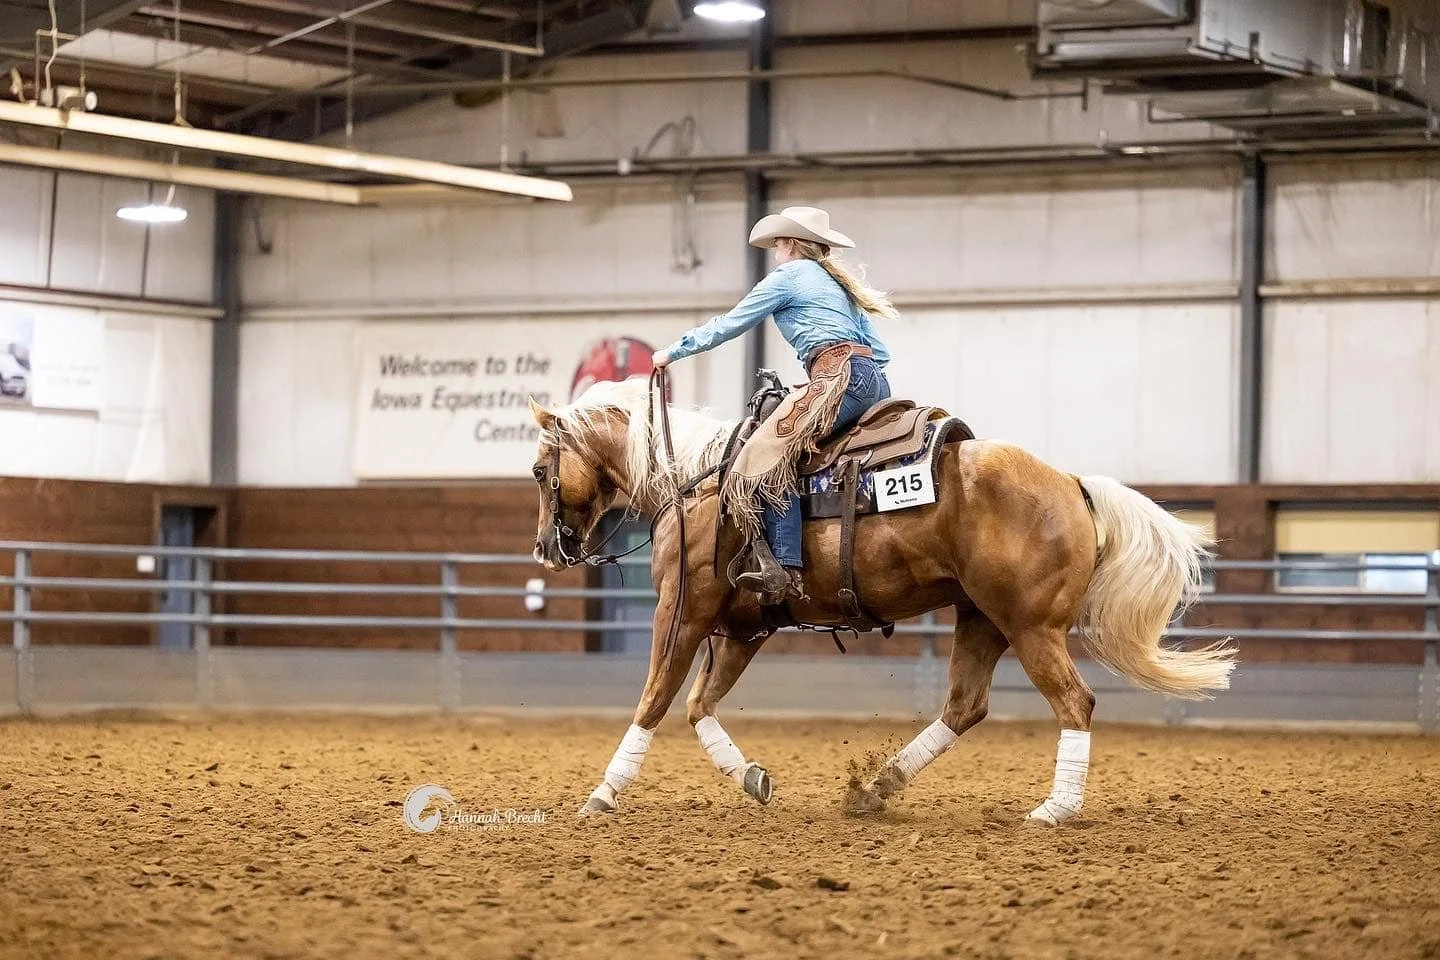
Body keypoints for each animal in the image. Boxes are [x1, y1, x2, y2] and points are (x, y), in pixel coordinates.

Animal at [527, 377, 1236, 823]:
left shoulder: (681, 614)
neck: (696, 483)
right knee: (965, 706)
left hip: (1031, 628)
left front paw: (602, 794)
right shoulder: (744, 630)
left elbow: (653, 702)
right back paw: (875, 787)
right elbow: (700, 706)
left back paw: (1055, 809)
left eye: (538, 471)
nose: (545, 548)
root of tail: (1070, 483)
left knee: (1074, 703)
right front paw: (751, 778)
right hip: (983, 619)